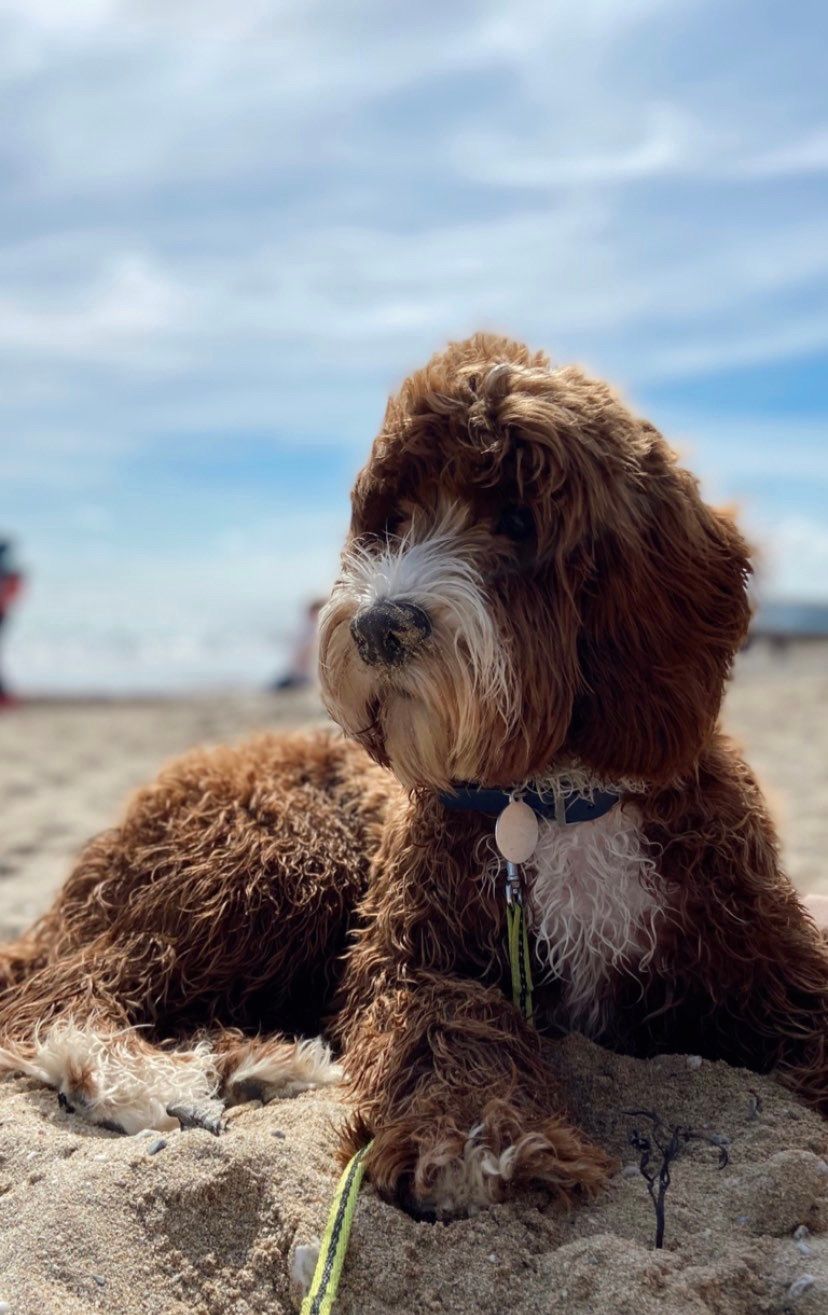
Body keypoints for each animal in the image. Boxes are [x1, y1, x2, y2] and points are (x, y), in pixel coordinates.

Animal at [1, 334, 828, 1215]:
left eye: (518, 519)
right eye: (394, 521)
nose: (376, 626)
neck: (548, 795)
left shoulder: (761, 950)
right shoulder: (414, 945)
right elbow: (444, 1015)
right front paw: (476, 1134)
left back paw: (263, 1059)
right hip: (267, 856)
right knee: (62, 989)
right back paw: (148, 1075)